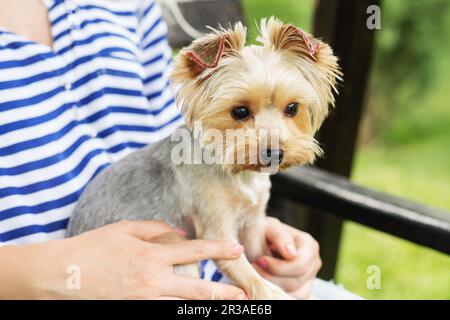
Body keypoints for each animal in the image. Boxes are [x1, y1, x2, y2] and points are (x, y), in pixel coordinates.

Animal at [67, 16, 342, 298]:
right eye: (239, 111)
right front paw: (270, 291)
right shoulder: (216, 231)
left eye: (292, 108)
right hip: (171, 244)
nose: (275, 153)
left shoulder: (253, 224)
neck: (239, 173)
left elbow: (255, 256)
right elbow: (247, 272)